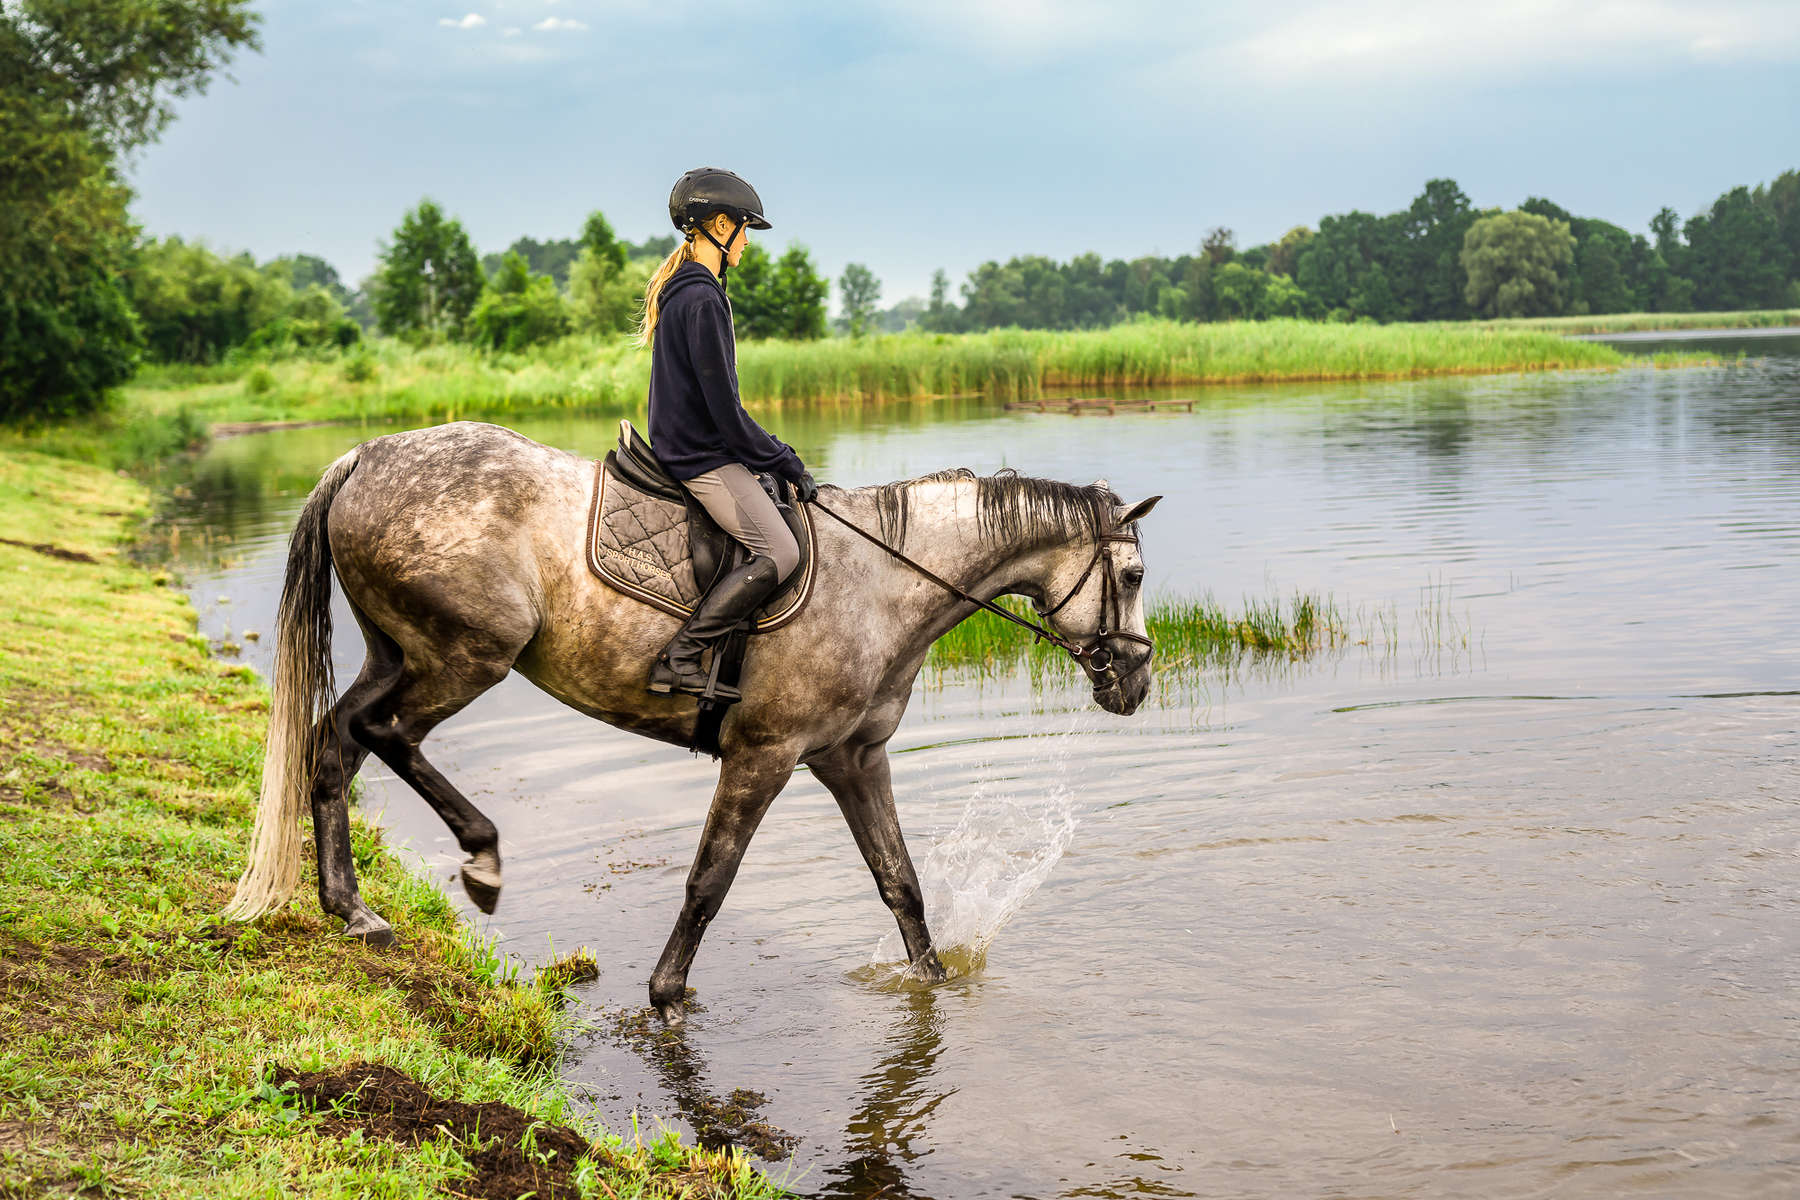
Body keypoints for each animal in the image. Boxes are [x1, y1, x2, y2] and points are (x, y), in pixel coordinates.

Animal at [225, 422, 1159, 1021]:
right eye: (1136, 575)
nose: (1138, 682)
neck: (881, 580)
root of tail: (364, 456)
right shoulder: (765, 755)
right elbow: (711, 880)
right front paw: (666, 995)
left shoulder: (853, 758)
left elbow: (901, 884)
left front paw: (933, 985)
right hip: (465, 656)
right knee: (386, 738)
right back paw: (480, 858)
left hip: (398, 655)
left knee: (334, 746)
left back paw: (352, 909)